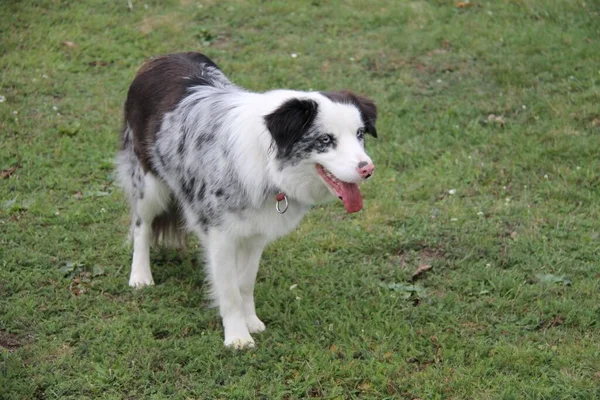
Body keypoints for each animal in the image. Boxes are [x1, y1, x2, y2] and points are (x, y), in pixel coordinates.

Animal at [116, 53, 378, 346]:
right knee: (141, 225)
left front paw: (251, 322)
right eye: (325, 139)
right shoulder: (220, 234)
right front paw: (237, 337)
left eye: (359, 134)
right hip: (148, 182)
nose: (368, 169)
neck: (269, 166)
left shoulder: (256, 233)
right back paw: (140, 276)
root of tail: (160, 58)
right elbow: (229, 289)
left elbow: (244, 283)